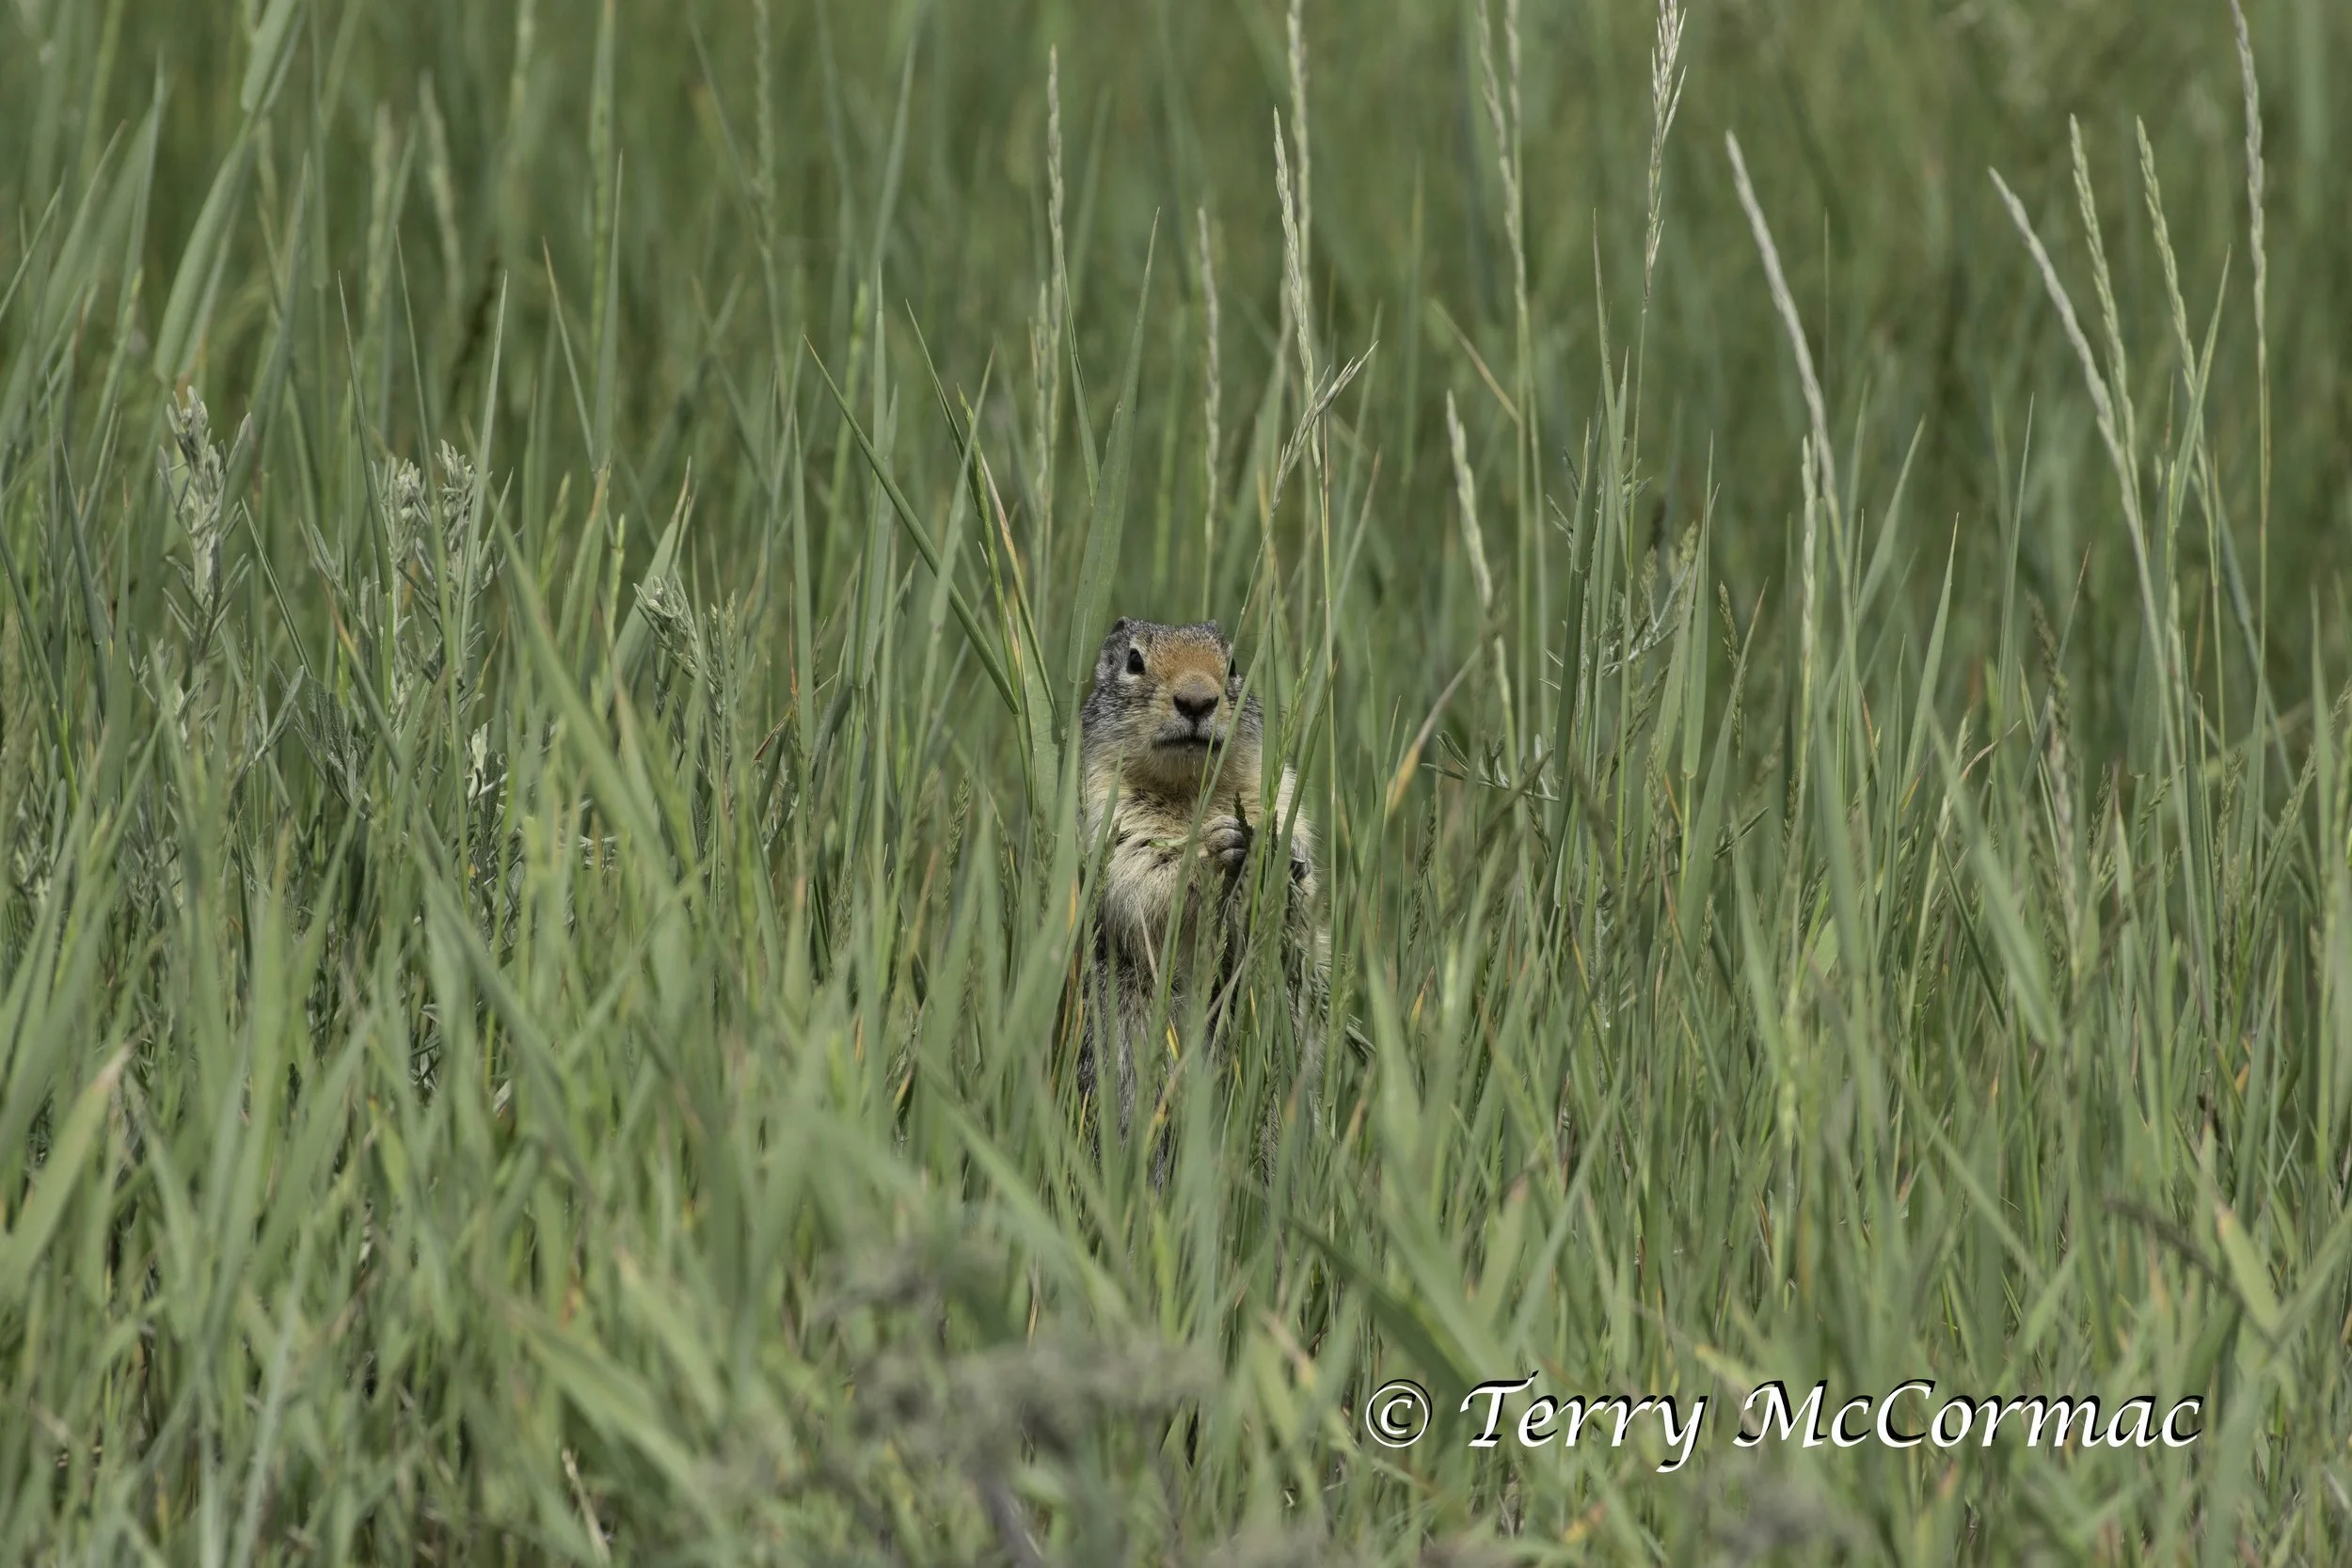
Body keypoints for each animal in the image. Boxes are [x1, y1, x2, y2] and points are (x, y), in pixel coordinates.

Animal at [1074, 616, 1325, 1154]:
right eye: (1133, 660)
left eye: (1232, 665)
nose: (1196, 700)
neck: (1189, 792)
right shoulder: (1108, 818)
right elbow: (1141, 880)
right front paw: (1216, 849)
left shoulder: (1279, 792)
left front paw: (1278, 858)